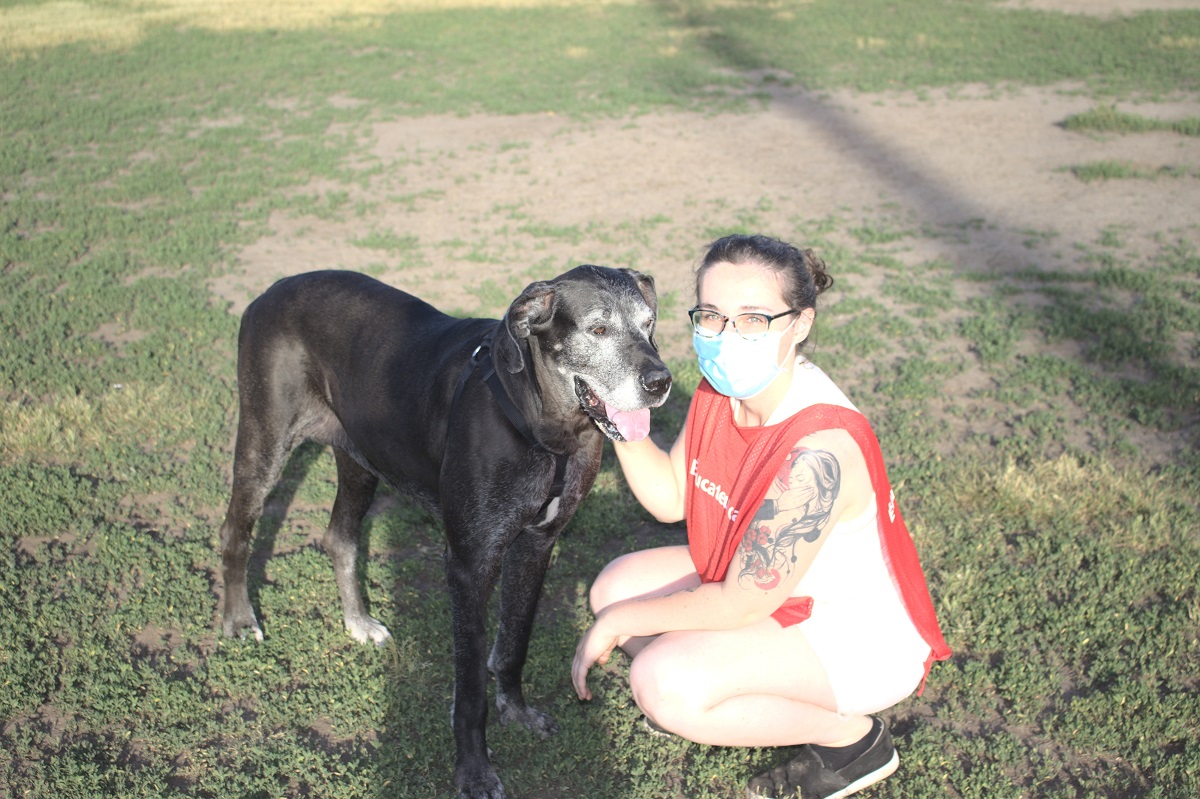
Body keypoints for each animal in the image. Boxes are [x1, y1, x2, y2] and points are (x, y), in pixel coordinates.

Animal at [219, 266, 671, 799]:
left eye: (649, 324)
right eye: (598, 329)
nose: (660, 381)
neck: (544, 427)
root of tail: (272, 289)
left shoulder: (536, 546)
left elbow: (514, 642)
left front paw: (516, 711)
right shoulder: (469, 565)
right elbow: (470, 684)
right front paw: (474, 771)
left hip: (359, 457)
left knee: (340, 536)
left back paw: (357, 621)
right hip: (264, 443)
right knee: (234, 531)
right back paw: (239, 619)